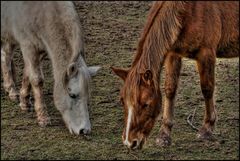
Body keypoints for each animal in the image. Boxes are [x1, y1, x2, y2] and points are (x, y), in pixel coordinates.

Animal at [0, 1, 100, 135]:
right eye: (73, 95)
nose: (84, 130)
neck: (43, 11)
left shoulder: (41, 48)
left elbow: (27, 73)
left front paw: (24, 101)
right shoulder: (28, 45)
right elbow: (37, 79)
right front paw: (43, 117)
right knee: (6, 55)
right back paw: (11, 89)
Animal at [111, 1, 239, 150]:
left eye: (146, 104)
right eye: (122, 101)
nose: (130, 142)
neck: (190, 10)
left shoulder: (206, 53)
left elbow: (207, 89)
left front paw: (207, 129)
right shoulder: (173, 54)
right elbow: (170, 90)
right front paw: (164, 135)